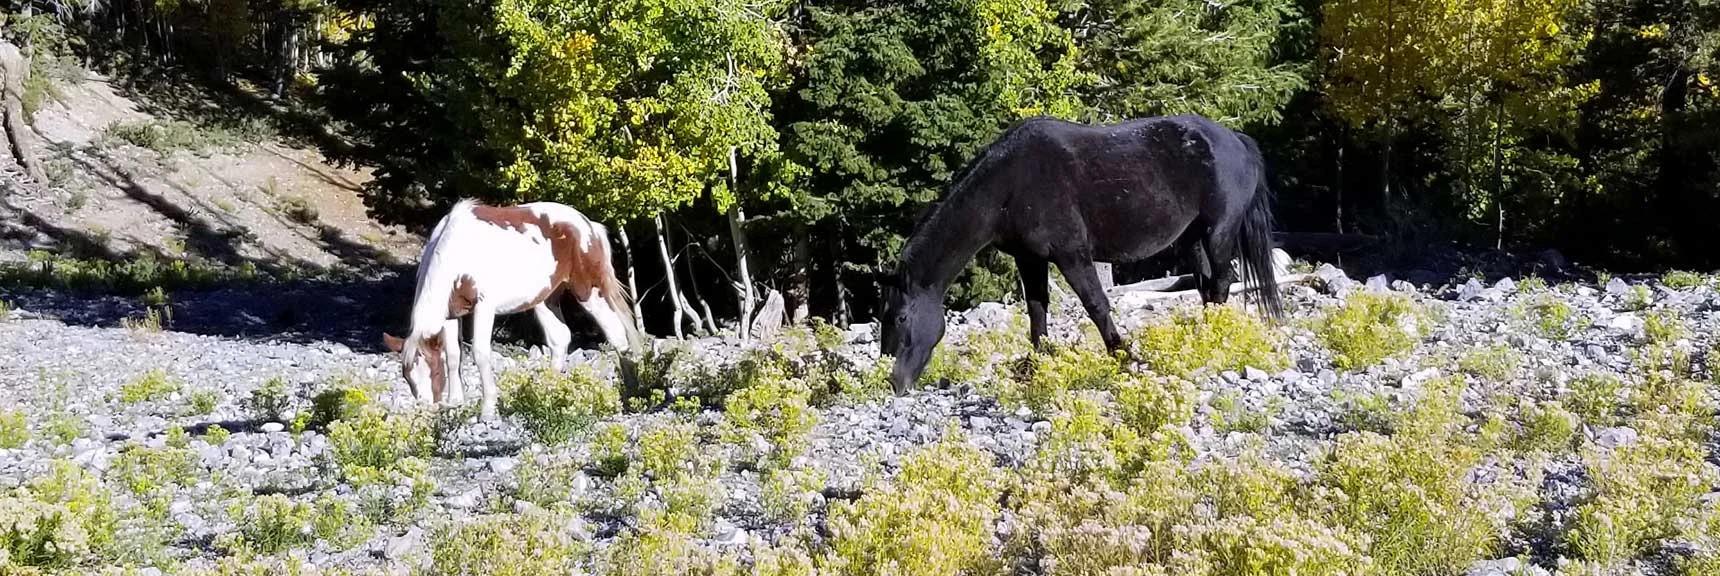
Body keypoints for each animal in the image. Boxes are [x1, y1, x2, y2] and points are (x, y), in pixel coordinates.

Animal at [382, 198, 645, 421]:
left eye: (435, 373)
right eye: (407, 377)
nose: (426, 410)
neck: (458, 253)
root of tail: (589, 226)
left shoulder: (484, 307)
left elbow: (480, 353)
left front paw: (488, 408)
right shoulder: (450, 313)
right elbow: (454, 355)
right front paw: (455, 402)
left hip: (588, 291)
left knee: (616, 334)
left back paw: (630, 391)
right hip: (546, 300)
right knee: (560, 339)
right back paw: (549, 392)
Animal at [878, 114, 1285, 395]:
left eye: (900, 318)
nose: (895, 382)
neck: (1010, 184)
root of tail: (1235, 139)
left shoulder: (1072, 254)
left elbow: (1096, 305)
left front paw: (1124, 357)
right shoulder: (1030, 258)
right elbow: (1037, 309)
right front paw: (1039, 363)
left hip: (1219, 232)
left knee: (1221, 283)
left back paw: (1213, 339)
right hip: (1193, 238)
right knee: (1205, 286)